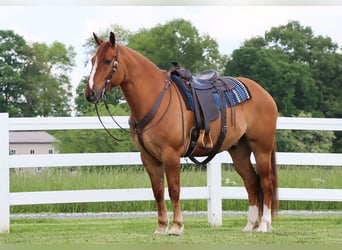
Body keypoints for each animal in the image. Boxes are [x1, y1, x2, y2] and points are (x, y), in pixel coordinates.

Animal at [85, 30, 278, 234]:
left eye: (107, 61)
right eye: (92, 60)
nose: (90, 93)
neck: (155, 98)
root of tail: (264, 93)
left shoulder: (171, 154)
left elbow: (174, 189)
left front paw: (177, 226)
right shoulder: (149, 158)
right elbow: (158, 191)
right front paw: (161, 226)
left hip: (261, 149)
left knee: (266, 182)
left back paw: (264, 224)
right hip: (239, 151)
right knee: (252, 182)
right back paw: (250, 225)